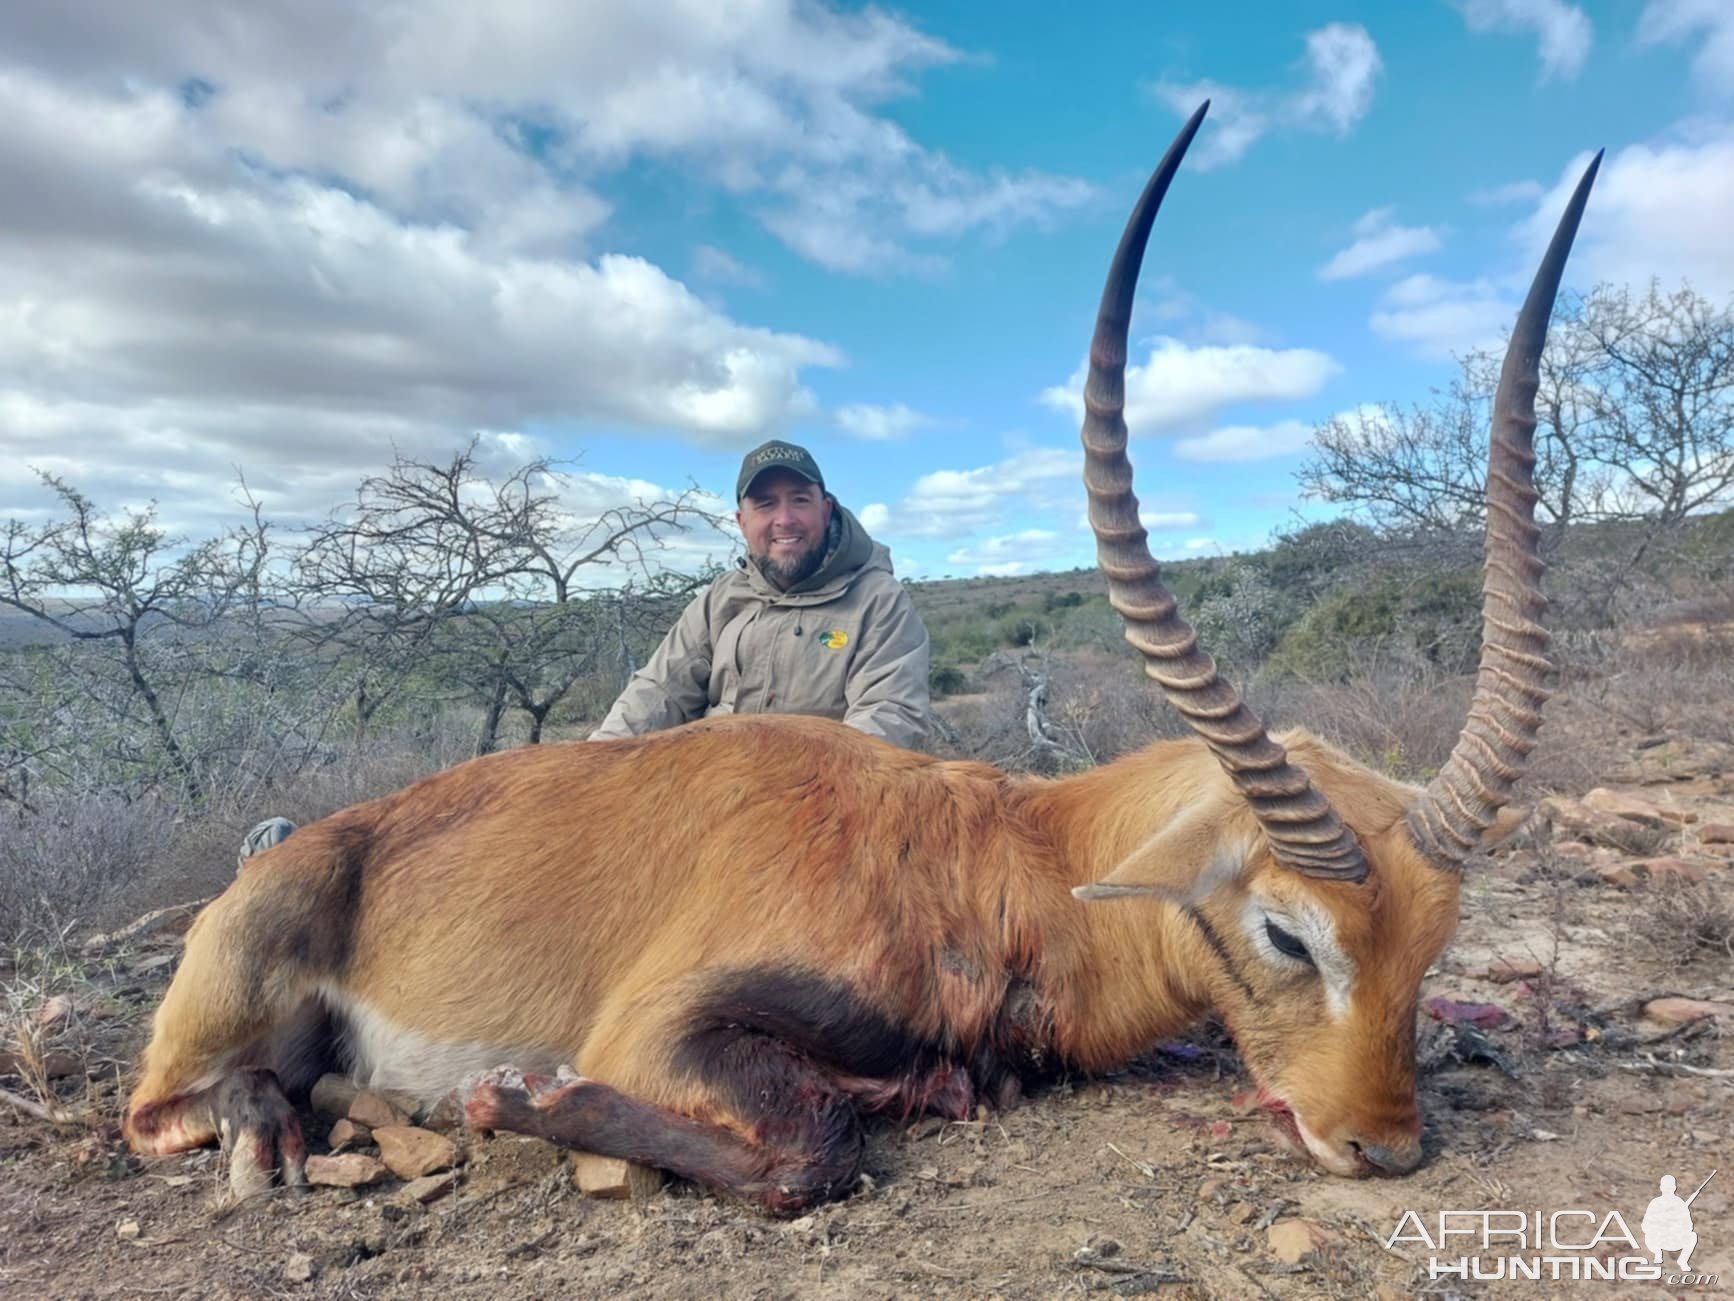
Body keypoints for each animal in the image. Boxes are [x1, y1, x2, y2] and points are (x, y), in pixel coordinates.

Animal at [122, 107, 1602, 1221]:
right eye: (1288, 929)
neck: (987, 858)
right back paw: (274, 1130)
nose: (1383, 1145)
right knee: (167, 1108)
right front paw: (511, 1095)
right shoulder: (660, 1033)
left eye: (1435, 937)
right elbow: (813, 1154)